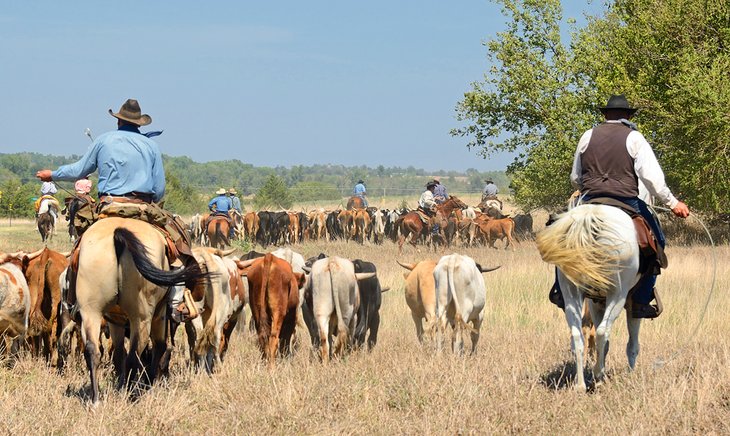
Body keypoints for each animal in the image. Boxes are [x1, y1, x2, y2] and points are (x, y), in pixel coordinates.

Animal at [73, 218, 203, 406]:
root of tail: (118, 233)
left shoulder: (115, 321)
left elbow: (118, 352)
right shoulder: (160, 314)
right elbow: (160, 346)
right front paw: (148, 382)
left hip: (91, 312)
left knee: (93, 350)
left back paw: (96, 399)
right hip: (142, 318)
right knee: (134, 355)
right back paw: (129, 394)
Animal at [532, 204, 640, 392]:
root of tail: (589, 216)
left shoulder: (596, 303)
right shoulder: (635, 302)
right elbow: (632, 344)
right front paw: (629, 374)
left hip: (572, 293)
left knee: (578, 334)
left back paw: (580, 384)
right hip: (617, 295)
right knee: (602, 332)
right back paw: (597, 376)